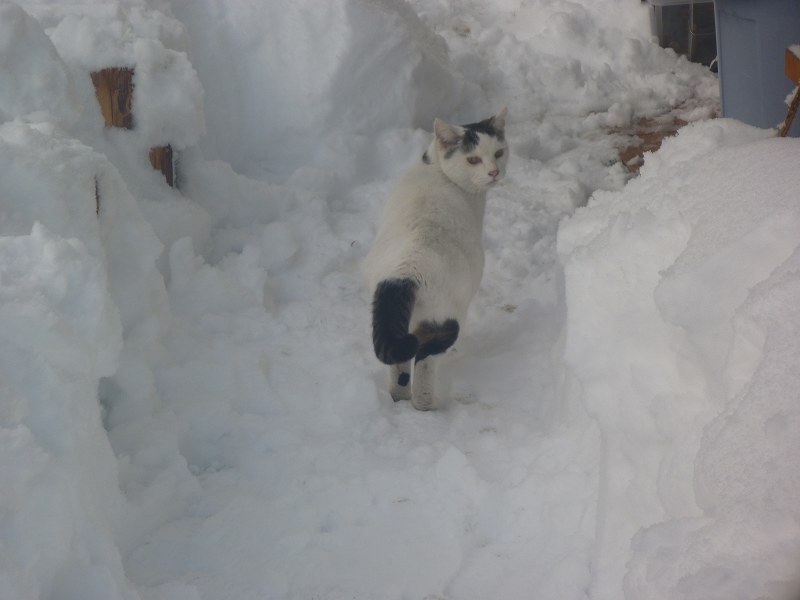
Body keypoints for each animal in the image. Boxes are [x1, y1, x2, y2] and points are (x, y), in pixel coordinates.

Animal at [362, 108, 506, 410]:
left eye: (499, 153)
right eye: (473, 159)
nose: (494, 172)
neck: (435, 167)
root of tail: (405, 272)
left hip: (394, 319)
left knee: (399, 364)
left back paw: (399, 397)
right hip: (445, 320)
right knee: (425, 361)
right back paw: (426, 403)